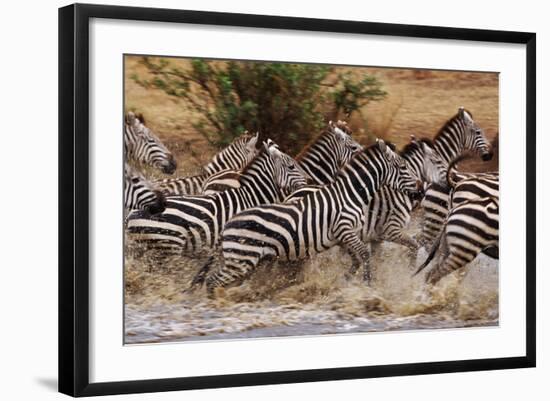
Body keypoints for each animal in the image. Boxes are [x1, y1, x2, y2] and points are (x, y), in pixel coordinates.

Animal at [205, 139, 424, 296]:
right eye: (403, 167)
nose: (420, 190)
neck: (351, 194)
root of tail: (227, 224)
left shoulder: (344, 236)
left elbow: (356, 259)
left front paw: (345, 281)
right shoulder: (346, 229)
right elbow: (365, 255)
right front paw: (368, 285)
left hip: (241, 259)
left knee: (212, 279)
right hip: (242, 259)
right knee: (213, 281)